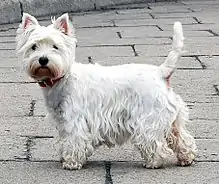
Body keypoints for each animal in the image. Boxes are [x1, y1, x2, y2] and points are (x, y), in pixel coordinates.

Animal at [15, 12, 197, 170]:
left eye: (55, 47)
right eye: (34, 47)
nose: (43, 60)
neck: (61, 78)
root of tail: (160, 72)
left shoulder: (75, 120)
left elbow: (75, 140)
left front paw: (71, 163)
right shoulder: (61, 120)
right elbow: (63, 140)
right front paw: (64, 156)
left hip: (149, 117)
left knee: (154, 141)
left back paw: (153, 162)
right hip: (172, 118)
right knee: (181, 138)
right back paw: (186, 159)